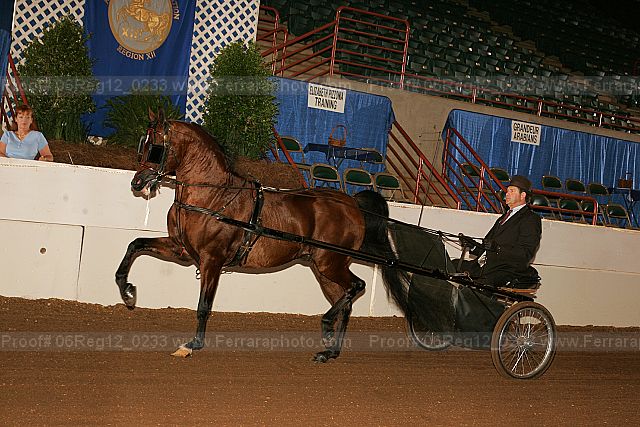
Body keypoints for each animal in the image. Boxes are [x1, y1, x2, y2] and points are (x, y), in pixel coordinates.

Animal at [116, 109, 405, 362]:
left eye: (155, 147)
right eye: (143, 144)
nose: (137, 183)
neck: (213, 196)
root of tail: (352, 203)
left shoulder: (212, 260)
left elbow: (204, 305)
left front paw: (192, 345)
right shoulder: (181, 249)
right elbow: (135, 244)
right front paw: (127, 291)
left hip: (330, 263)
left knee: (357, 286)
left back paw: (326, 328)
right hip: (324, 269)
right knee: (345, 301)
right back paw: (330, 351)